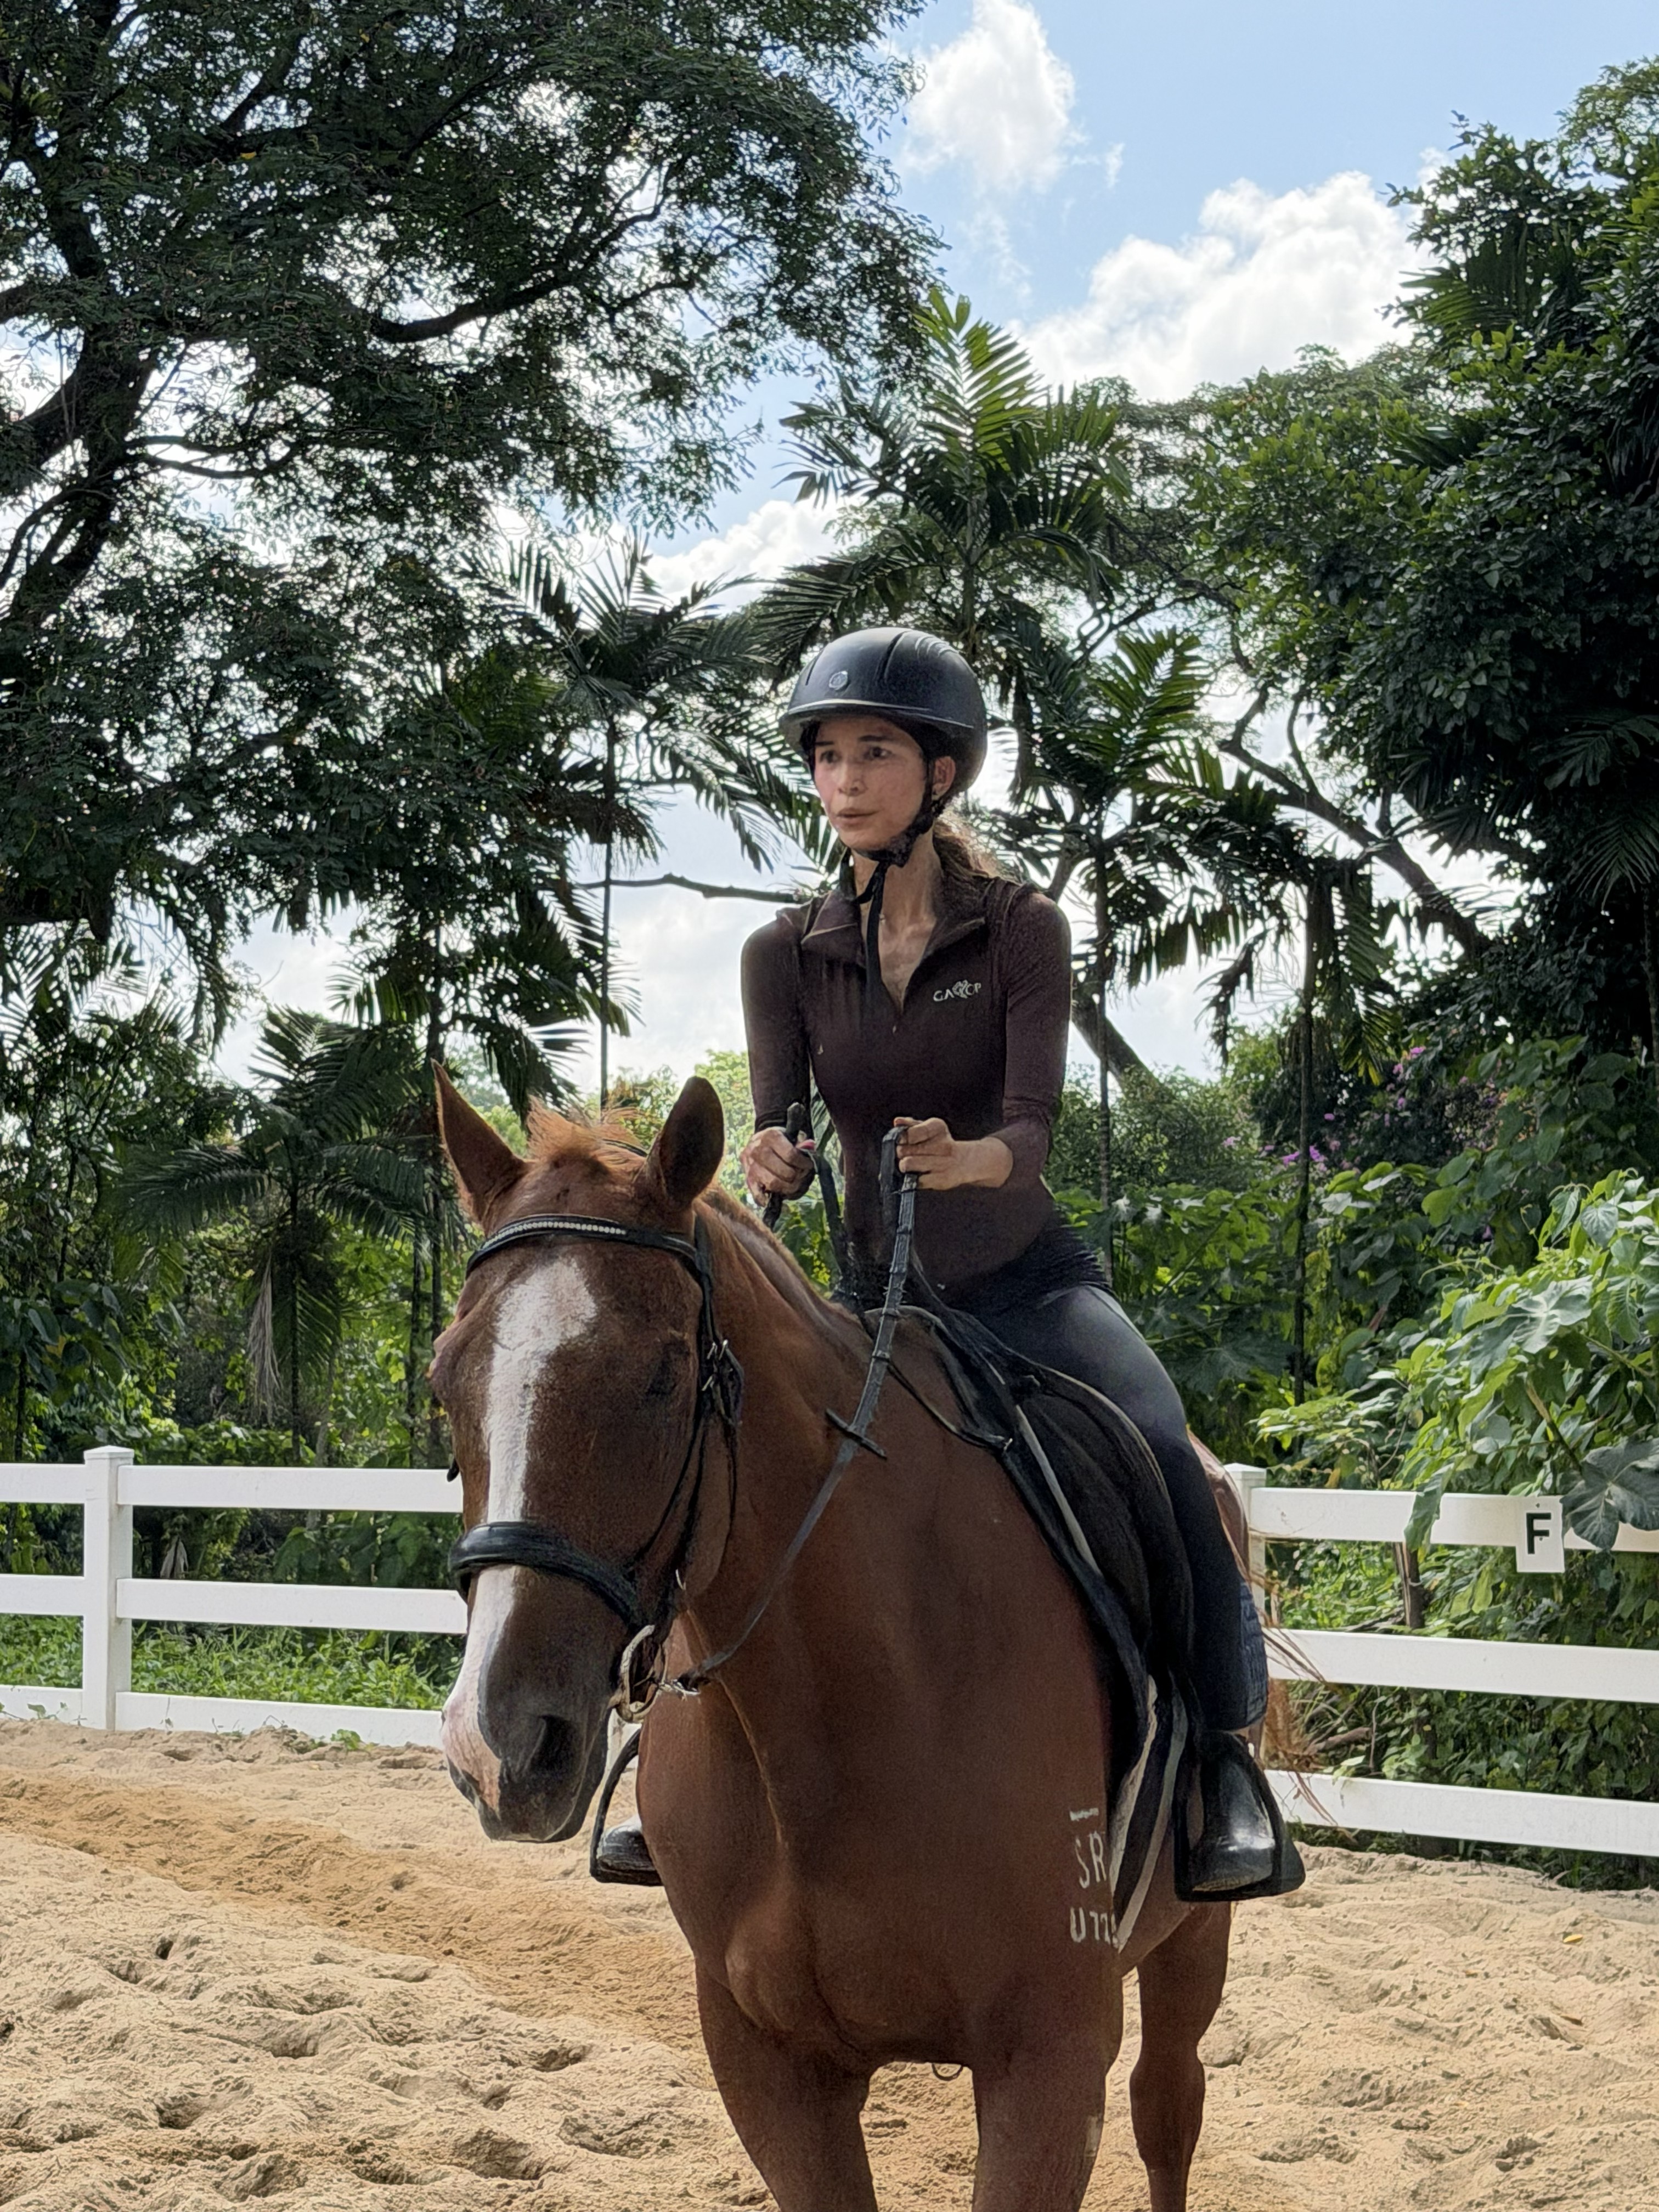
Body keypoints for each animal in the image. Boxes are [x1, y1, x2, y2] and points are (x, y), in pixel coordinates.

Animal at [430, 1068, 1234, 2212]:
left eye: (661, 1377)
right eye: (443, 1379)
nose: (499, 1743)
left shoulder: (1050, 2058)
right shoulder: (767, 2064)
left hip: (1191, 1939)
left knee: (1167, 2109)